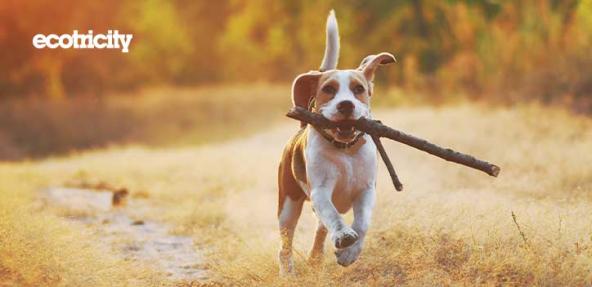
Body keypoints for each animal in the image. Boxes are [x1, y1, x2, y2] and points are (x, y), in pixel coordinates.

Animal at [276, 10, 394, 276]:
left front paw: (350, 253)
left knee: (320, 229)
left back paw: (316, 257)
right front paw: (342, 235)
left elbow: (362, 223)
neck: (345, 151)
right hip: (288, 204)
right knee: (286, 242)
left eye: (358, 88)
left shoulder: (366, 191)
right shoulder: (320, 190)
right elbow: (332, 216)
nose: (346, 105)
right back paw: (287, 272)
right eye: (329, 89)